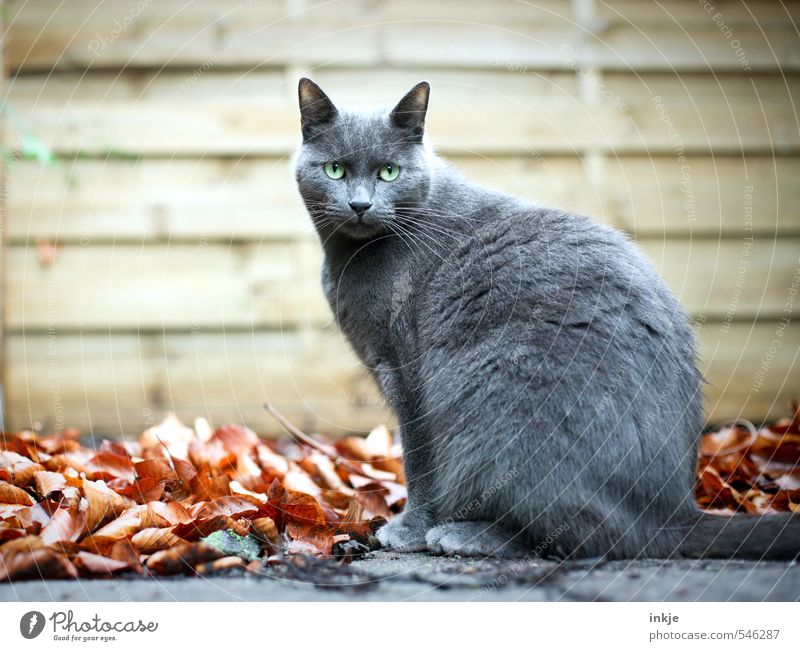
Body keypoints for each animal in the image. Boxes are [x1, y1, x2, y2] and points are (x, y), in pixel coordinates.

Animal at [294, 77, 800, 560]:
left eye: (389, 171)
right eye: (335, 169)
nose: (360, 204)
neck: (348, 258)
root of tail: (673, 513)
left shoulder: (408, 374)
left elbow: (419, 462)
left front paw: (408, 530)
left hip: (494, 396)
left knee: (589, 536)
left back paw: (464, 536)